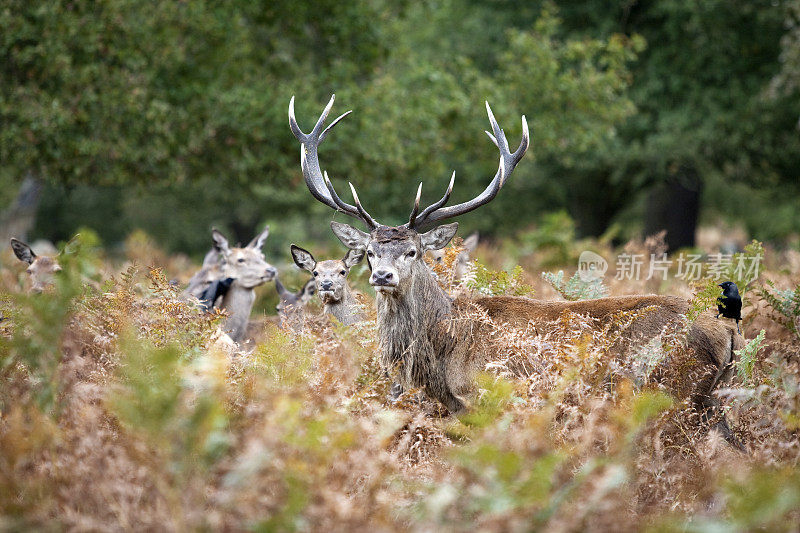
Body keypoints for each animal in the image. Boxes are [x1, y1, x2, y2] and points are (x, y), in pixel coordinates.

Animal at [290, 95, 744, 436]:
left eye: (413, 252)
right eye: (369, 252)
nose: (383, 275)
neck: (443, 355)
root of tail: (727, 333)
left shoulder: (494, 399)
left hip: (671, 392)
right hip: (709, 402)